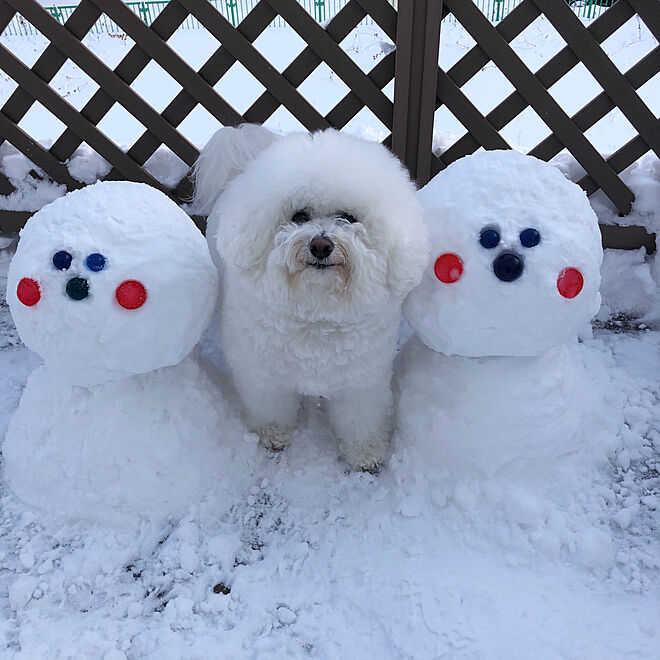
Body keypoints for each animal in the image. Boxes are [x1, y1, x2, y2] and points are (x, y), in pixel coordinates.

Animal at [192, 125, 428, 470]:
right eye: (299, 215)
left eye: (348, 217)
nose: (320, 245)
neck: (317, 309)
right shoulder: (263, 373)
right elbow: (271, 407)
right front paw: (273, 435)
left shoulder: (362, 379)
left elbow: (361, 418)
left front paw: (365, 452)